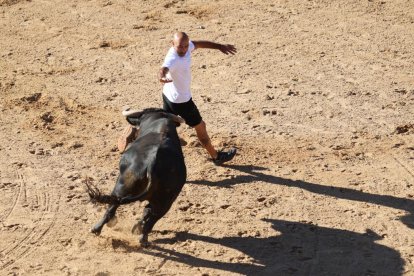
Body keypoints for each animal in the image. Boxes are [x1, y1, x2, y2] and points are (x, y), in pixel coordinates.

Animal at [86, 108, 187, 246]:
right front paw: (137, 227)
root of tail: (153, 162)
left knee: (113, 204)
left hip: (121, 186)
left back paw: (96, 228)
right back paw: (143, 237)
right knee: (153, 218)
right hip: (167, 201)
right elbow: (147, 213)